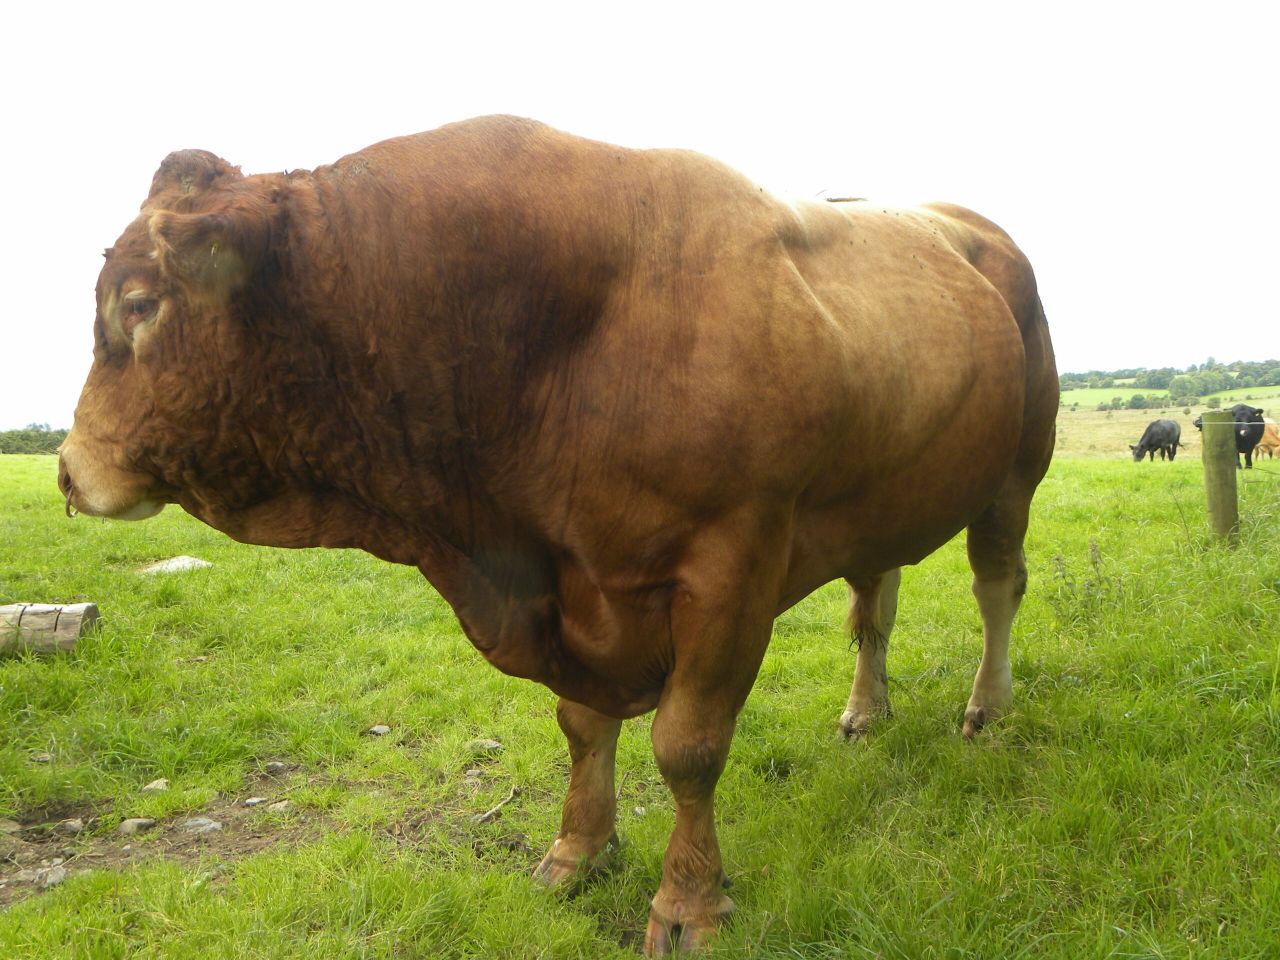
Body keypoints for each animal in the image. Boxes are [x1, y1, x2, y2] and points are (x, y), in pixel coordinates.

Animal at [57, 116, 1057, 955]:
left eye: (138, 304)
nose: (70, 468)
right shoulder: (571, 581)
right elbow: (582, 726)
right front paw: (578, 852)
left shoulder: (731, 563)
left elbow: (688, 747)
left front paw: (689, 904)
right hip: (880, 496)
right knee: (873, 601)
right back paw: (866, 709)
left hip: (1017, 472)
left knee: (996, 587)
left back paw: (986, 707)